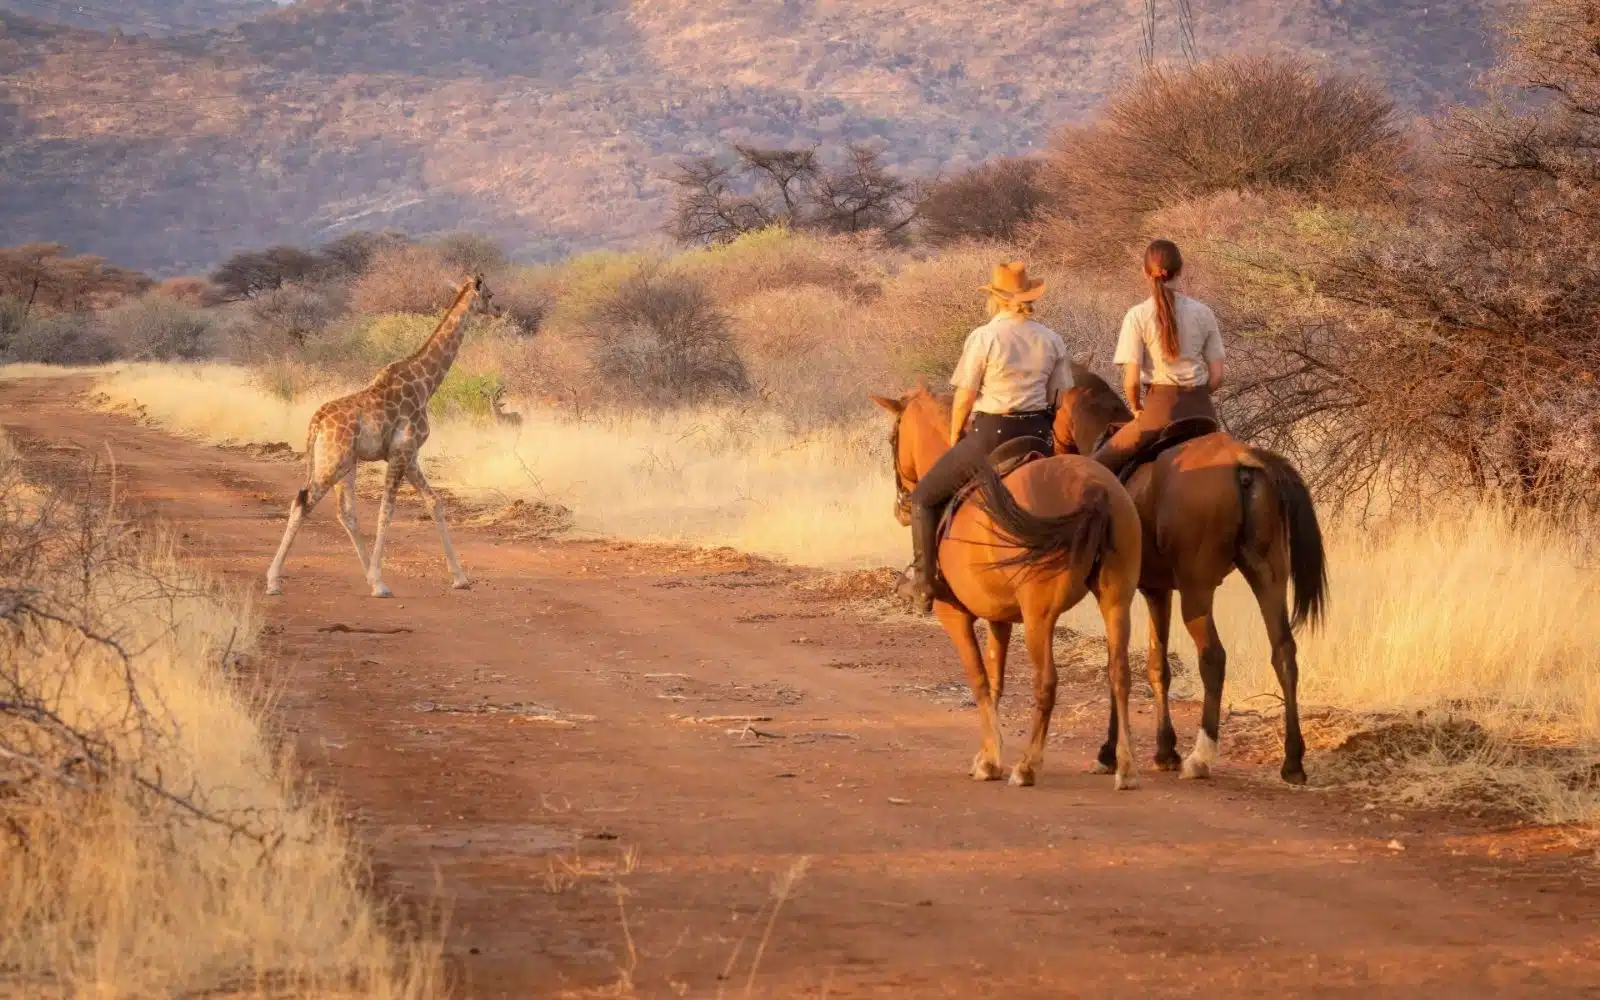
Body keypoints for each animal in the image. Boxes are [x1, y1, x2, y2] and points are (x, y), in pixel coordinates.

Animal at [868, 387, 1146, 790]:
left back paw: (1027, 766)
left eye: (893, 438)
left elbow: (979, 680)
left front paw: (991, 760)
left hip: (1039, 617)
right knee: (1119, 675)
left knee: (1046, 683)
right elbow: (996, 681)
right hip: (1116, 601)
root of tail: (1094, 489)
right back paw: (1125, 767)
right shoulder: (998, 619)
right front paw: (987, 753)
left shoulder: (955, 617)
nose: (901, 507)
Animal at [1052, 363, 1328, 784]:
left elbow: (1118, 664)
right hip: (1268, 578)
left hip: (1198, 593)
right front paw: (1165, 750)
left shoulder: (1118, 594)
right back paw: (1293, 761)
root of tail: (1245, 463)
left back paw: (1201, 757)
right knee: (1284, 653)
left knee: (1213, 658)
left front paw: (1110, 752)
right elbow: (1157, 666)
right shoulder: (1157, 592)